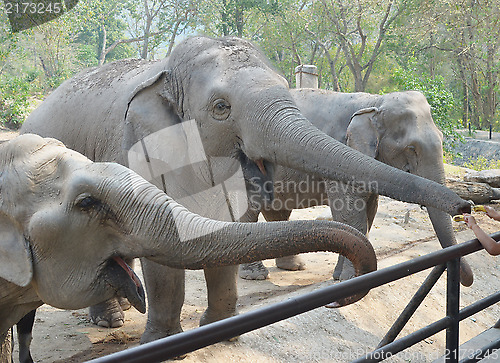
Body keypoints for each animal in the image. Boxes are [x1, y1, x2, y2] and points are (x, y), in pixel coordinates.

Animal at [240, 88, 474, 288]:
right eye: (411, 148)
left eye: (442, 138)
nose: (466, 206)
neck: (374, 102)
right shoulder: (339, 157)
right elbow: (349, 212)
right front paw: (352, 279)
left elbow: (369, 210)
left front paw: (351, 276)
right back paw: (254, 275)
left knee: (276, 210)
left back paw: (293, 267)